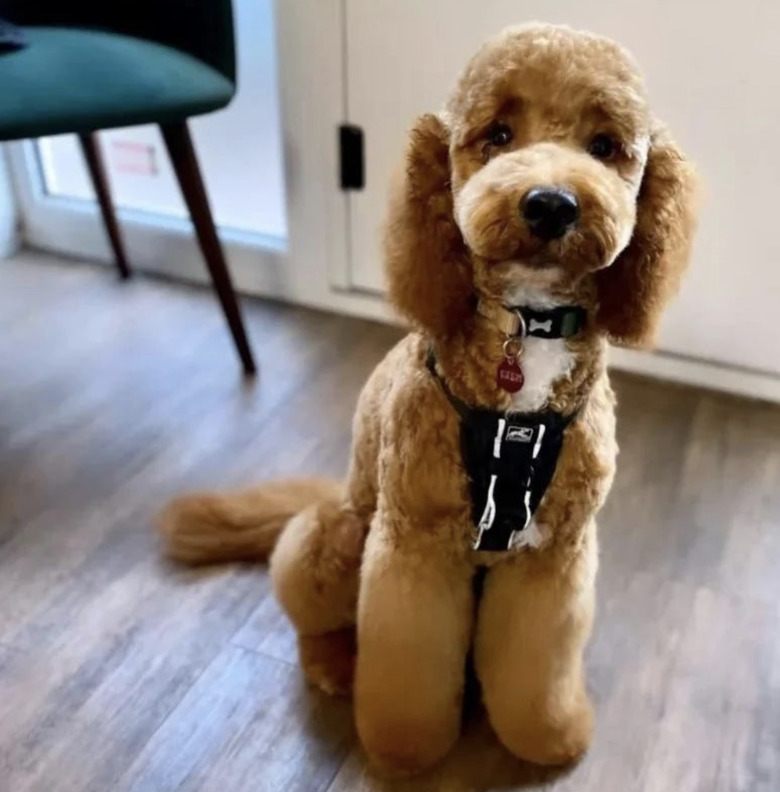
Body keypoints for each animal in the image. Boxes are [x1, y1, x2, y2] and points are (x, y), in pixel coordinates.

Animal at [161, 21, 696, 776]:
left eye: (604, 146)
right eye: (497, 134)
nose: (551, 203)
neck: (524, 331)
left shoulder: (553, 557)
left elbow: (539, 665)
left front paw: (548, 735)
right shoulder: (413, 543)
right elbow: (409, 659)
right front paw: (404, 745)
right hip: (332, 538)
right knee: (313, 624)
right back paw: (335, 665)